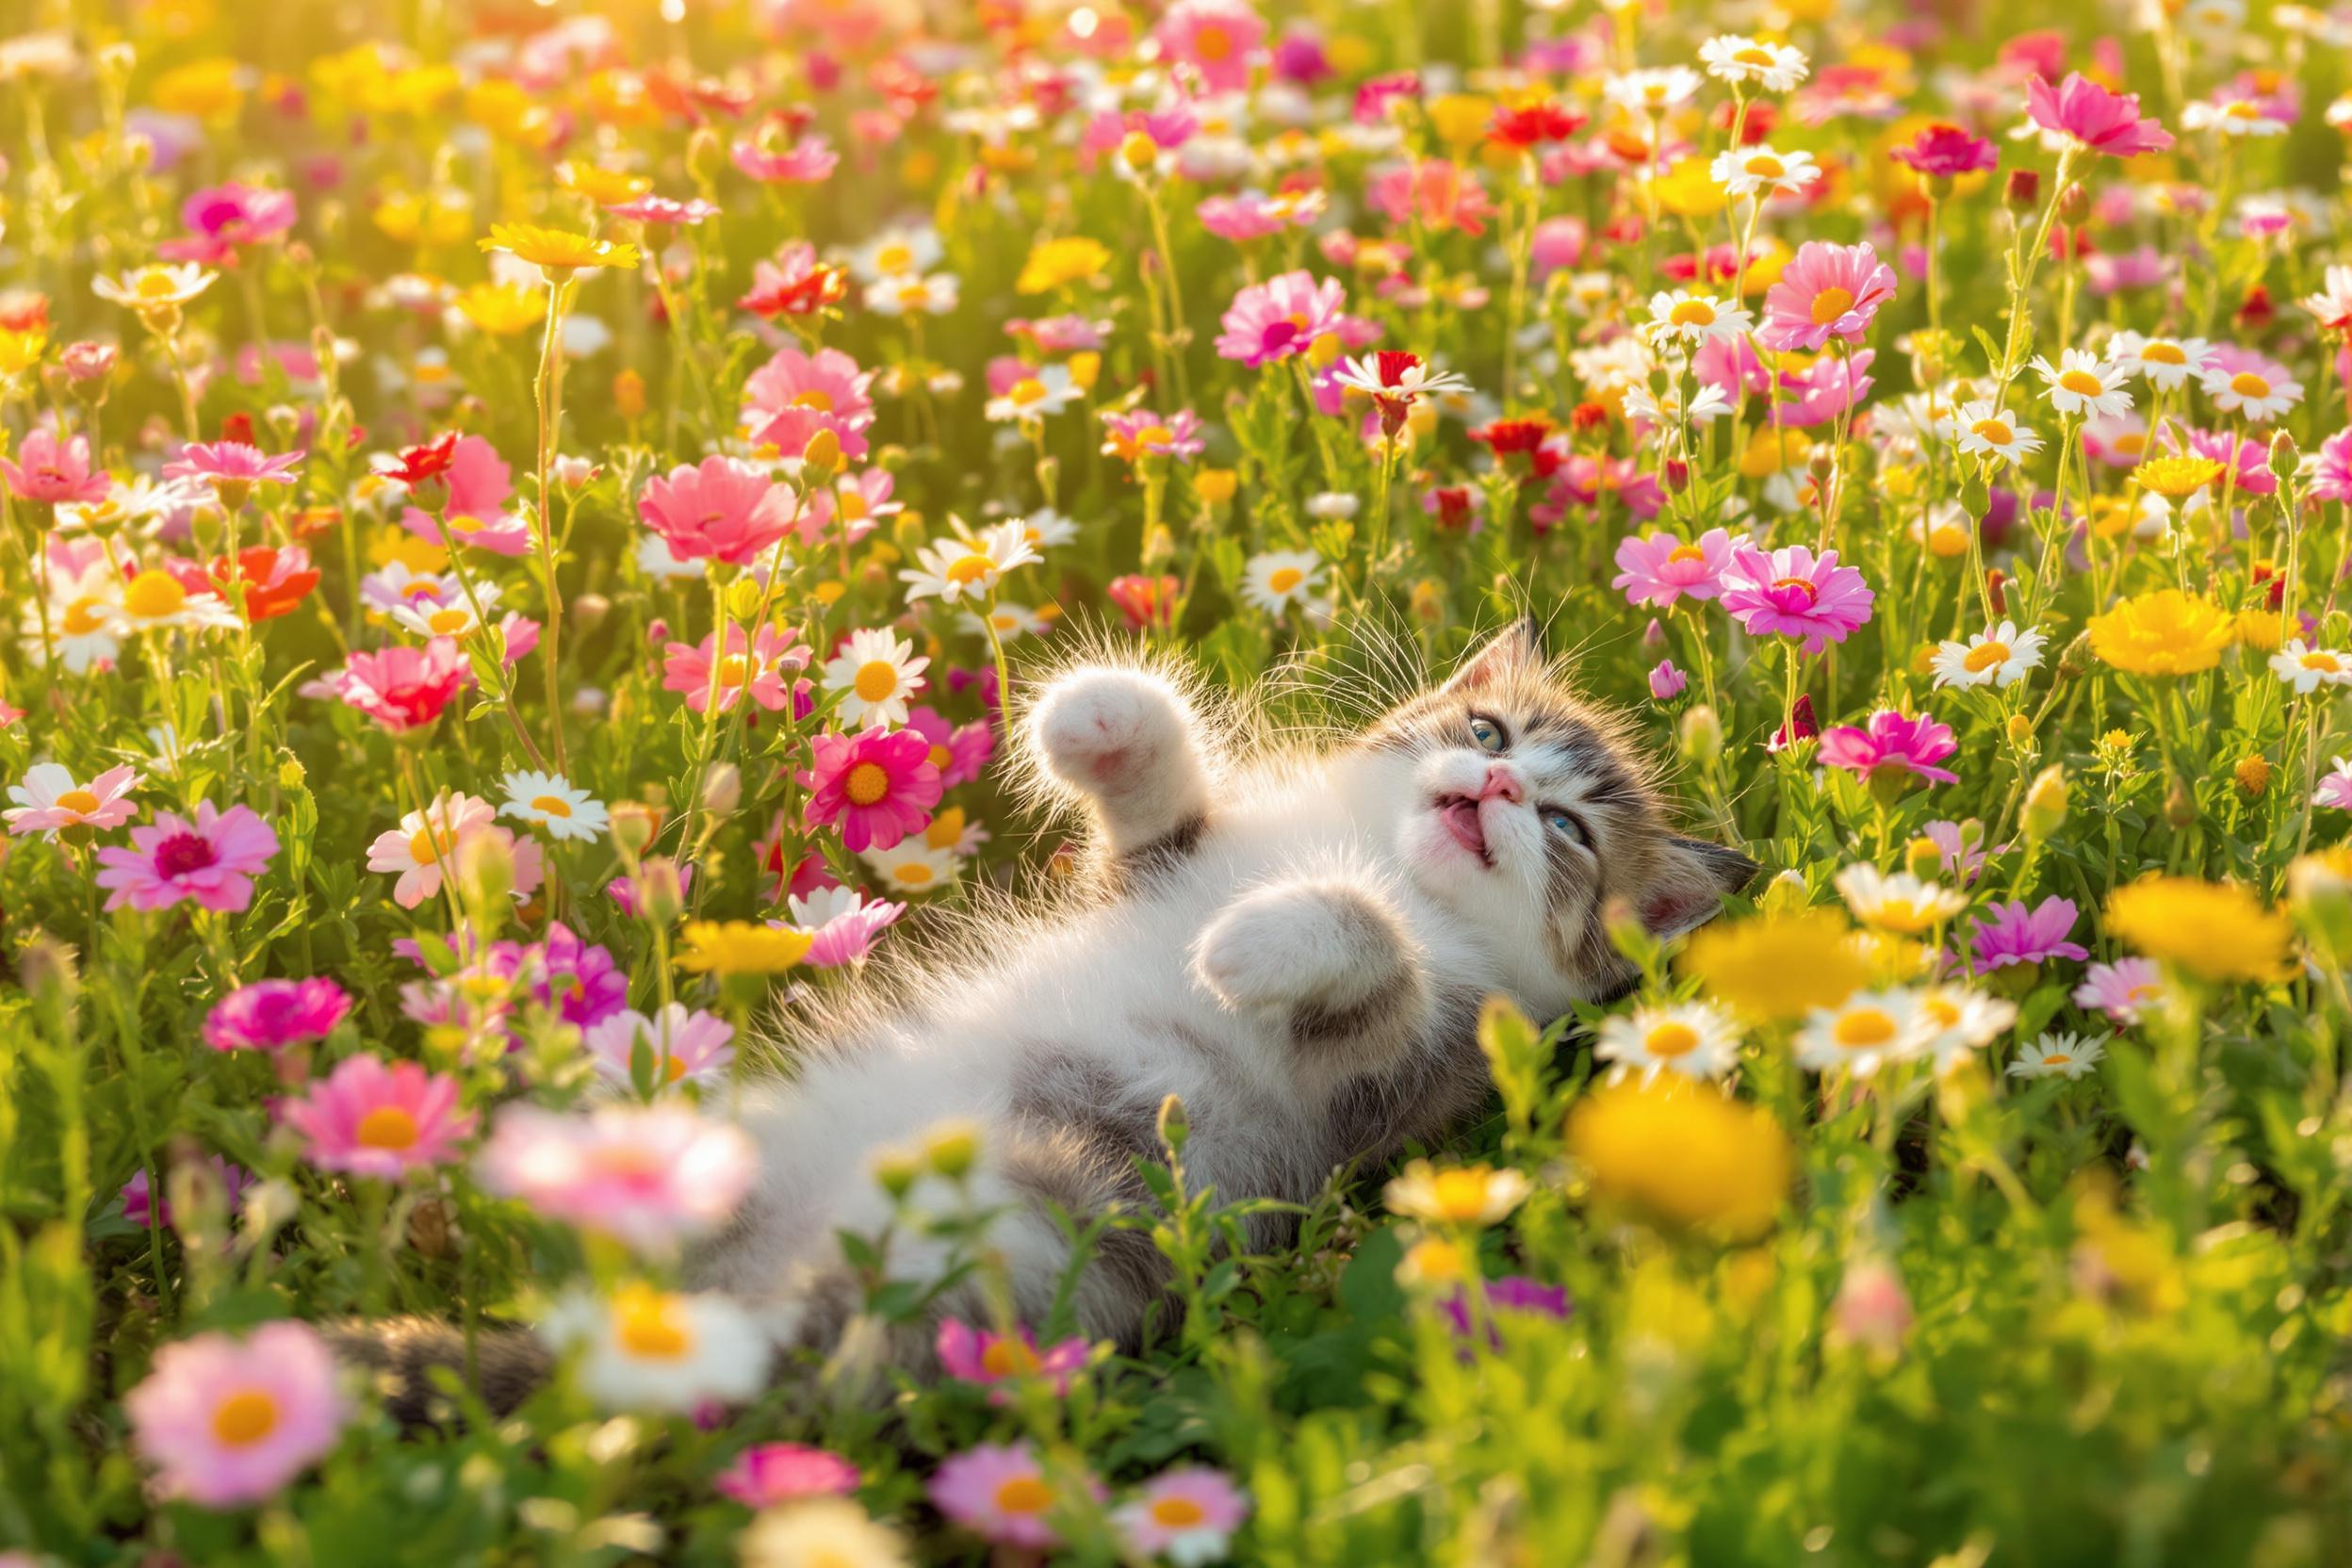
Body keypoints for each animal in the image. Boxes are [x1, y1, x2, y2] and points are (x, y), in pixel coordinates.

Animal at [343, 629, 1750, 1419]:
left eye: (1568, 831)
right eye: (1486, 725)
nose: (1499, 784)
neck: (1384, 858)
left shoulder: (1402, 1076)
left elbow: (1372, 954)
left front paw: (1249, 945)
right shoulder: (1151, 869)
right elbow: (1162, 803)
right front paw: (1098, 715)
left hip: (1021, 1222)